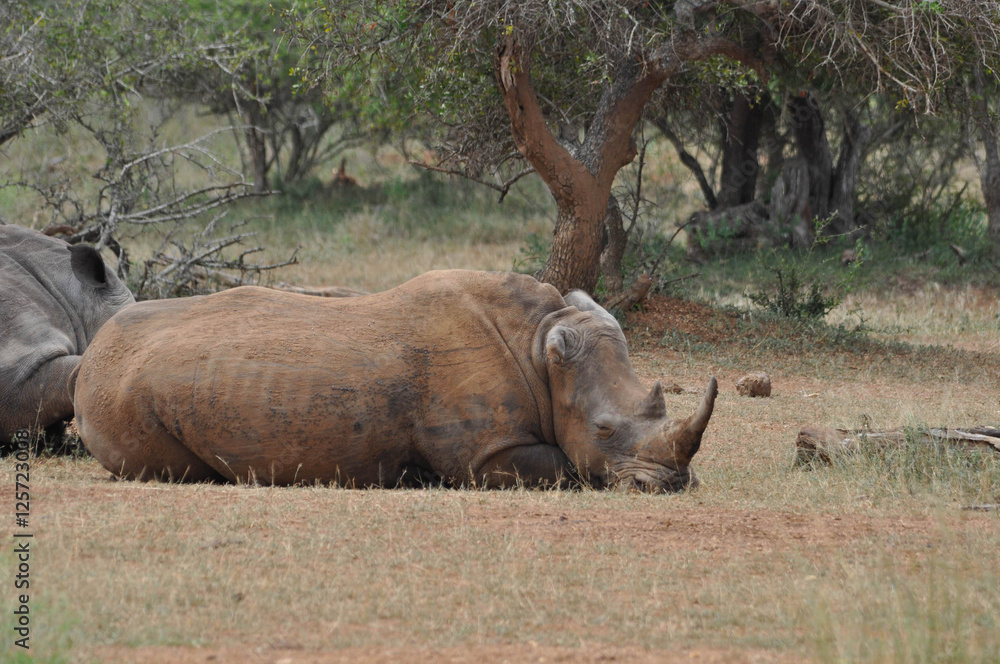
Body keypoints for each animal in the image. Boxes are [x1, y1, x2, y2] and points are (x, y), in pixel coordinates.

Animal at [73, 270, 717, 491]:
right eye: (604, 430)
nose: (671, 485)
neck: (542, 343)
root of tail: (92, 355)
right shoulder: (485, 455)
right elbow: (564, 466)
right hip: (124, 400)